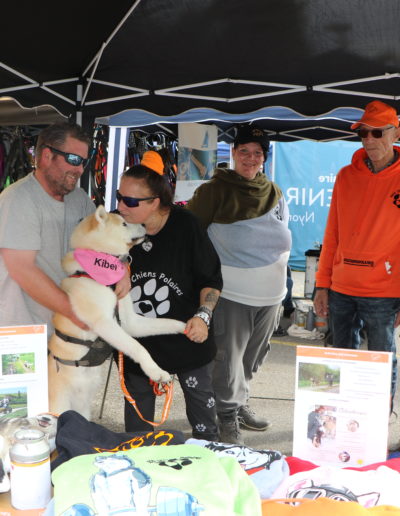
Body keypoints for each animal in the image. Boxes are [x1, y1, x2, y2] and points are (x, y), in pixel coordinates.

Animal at [48, 206, 186, 419]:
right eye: (124, 223)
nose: (144, 224)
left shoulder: (131, 322)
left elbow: (167, 323)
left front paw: (188, 326)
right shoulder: (105, 323)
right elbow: (138, 347)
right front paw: (156, 372)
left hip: (82, 410)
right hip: (59, 406)